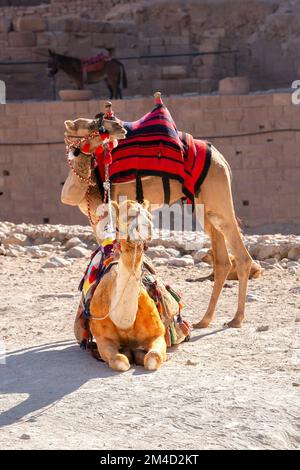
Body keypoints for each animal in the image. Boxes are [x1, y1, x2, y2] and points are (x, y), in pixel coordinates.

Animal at [62, 95, 260, 330]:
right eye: (93, 125)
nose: (119, 127)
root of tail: (223, 159)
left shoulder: (104, 214)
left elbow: (110, 254)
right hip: (205, 207)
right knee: (222, 260)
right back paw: (204, 320)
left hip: (218, 195)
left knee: (240, 255)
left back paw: (236, 318)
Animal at [89, 200, 169, 372]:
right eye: (130, 215)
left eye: (149, 215)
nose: (149, 227)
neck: (124, 322)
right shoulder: (102, 338)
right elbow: (120, 361)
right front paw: (127, 356)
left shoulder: (158, 334)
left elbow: (153, 358)